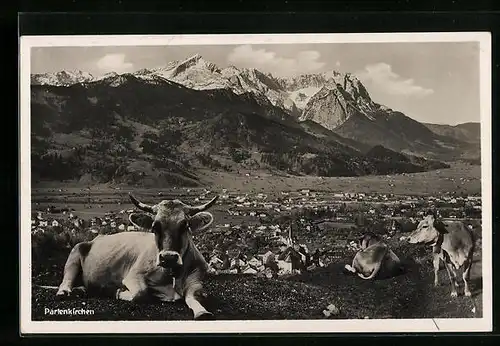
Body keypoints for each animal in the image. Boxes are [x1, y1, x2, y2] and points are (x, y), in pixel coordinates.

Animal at [54, 193, 219, 320]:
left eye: (185, 225)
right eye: (154, 226)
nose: (168, 257)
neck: (170, 275)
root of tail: (97, 238)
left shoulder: (196, 279)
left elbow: (195, 296)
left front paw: (202, 311)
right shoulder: (133, 275)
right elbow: (141, 293)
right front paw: (118, 292)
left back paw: (80, 290)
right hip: (75, 251)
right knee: (67, 279)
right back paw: (65, 292)